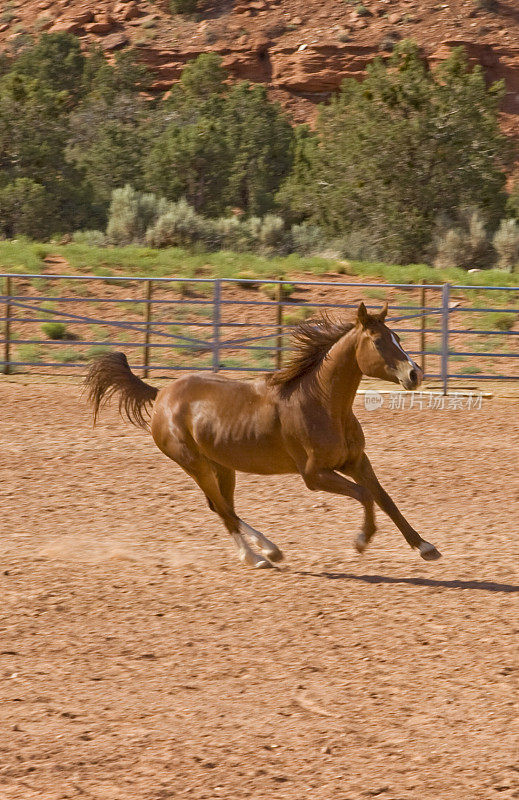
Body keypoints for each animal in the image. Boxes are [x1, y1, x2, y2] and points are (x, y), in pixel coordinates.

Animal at [85, 302, 442, 568]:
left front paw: (425, 547)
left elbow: (385, 498)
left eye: (398, 337)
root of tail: (161, 395)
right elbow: (366, 495)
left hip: (223, 466)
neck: (321, 403)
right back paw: (256, 556)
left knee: (221, 506)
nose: (415, 374)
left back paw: (269, 549)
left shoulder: (356, 461)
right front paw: (361, 541)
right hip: (194, 464)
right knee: (223, 510)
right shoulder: (314, 475)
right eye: (379, 342)